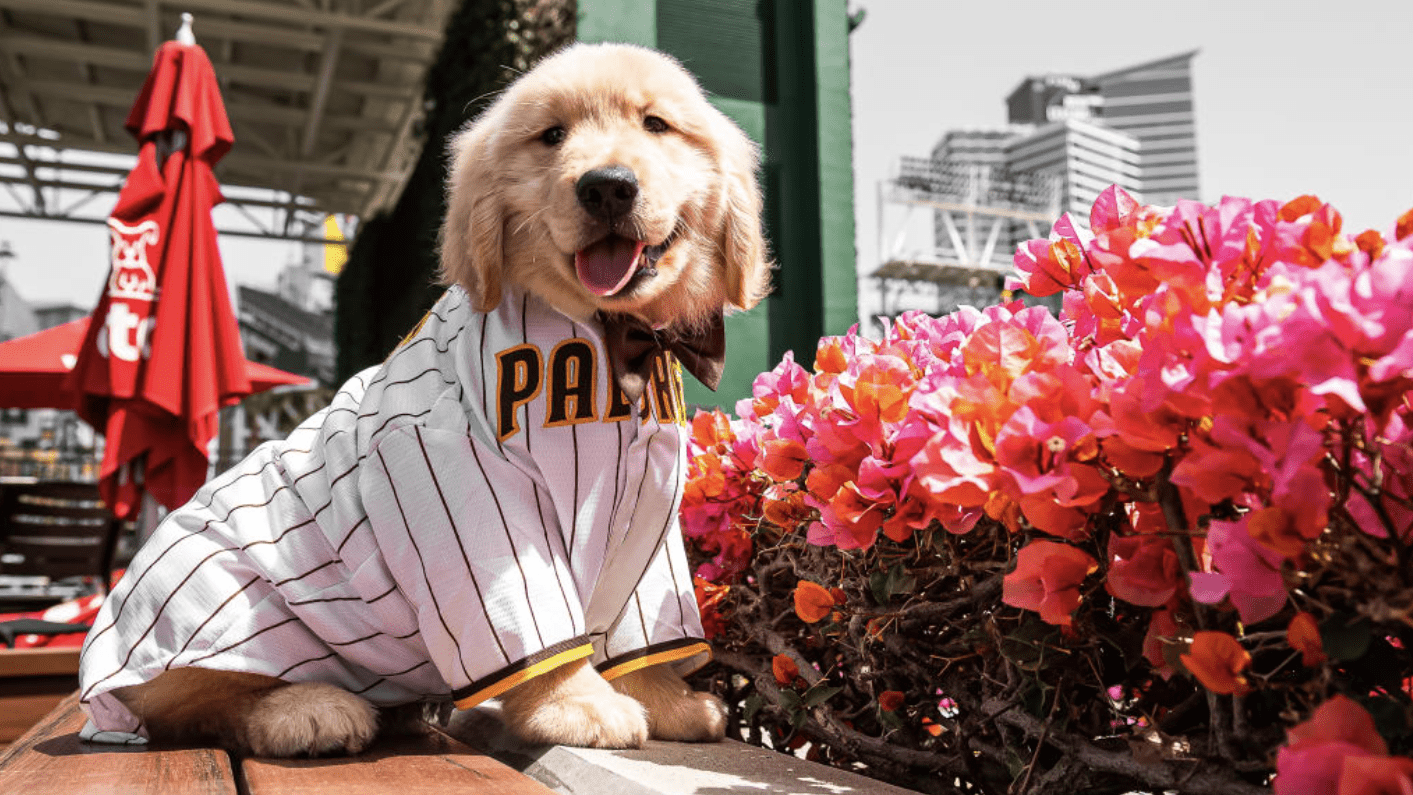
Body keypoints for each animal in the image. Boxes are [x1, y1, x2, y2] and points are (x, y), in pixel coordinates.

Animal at [78, 43, 774, 756]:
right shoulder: (462, 482)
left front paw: (667, 702)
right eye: (551, 136)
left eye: (656, 125)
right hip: (214, 597)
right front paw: (574, 706)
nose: (606, 185)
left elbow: (641, 634)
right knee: (200, 705)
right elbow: (539, 631)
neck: (612, 340)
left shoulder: (649, 510)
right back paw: (307, 709)